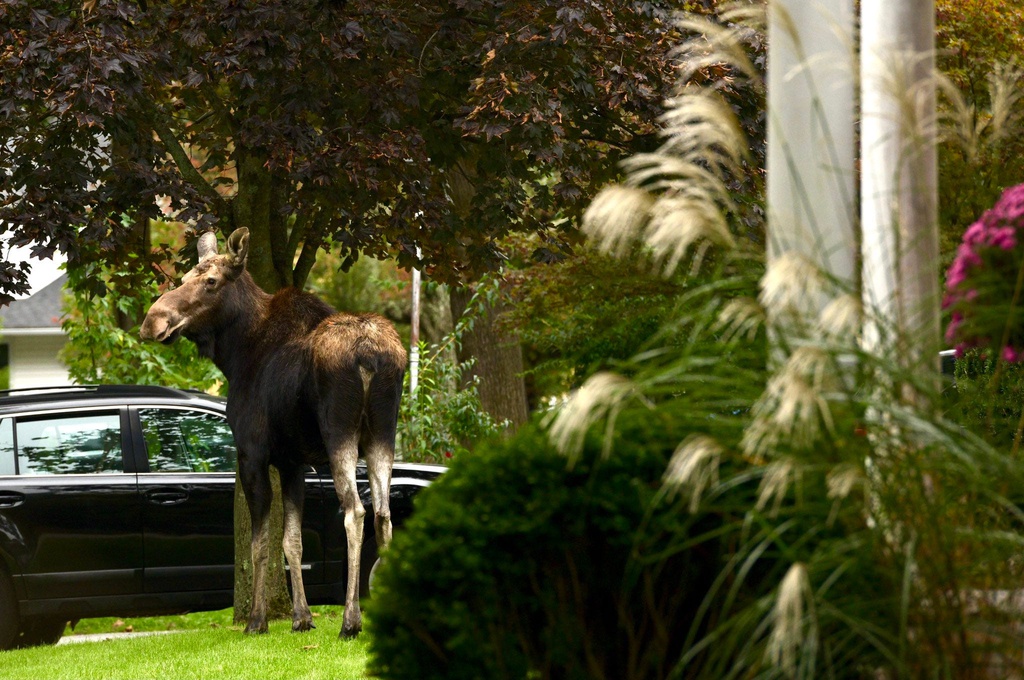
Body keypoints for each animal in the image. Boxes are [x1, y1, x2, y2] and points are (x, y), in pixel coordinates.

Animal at [140, 228, 406, 639]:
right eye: (183, 278)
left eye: (211, 281)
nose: (153, 321)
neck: (235, 355)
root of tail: (370, 357)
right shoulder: (293, 461)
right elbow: (292, 541)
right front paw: (302, 618)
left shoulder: (252, 453)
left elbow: (258, 543)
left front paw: (257, 620)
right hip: (383, 432)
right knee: (383, 514)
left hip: (340, 433)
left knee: (355, 512)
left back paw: (350, 621)